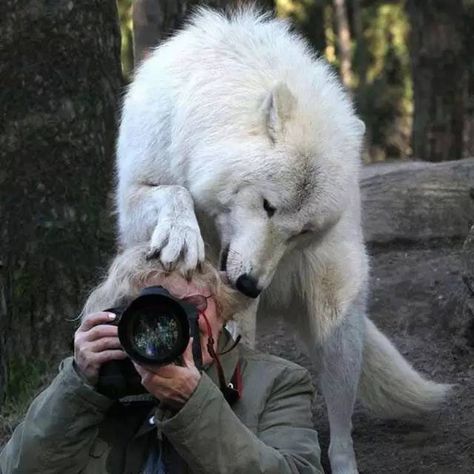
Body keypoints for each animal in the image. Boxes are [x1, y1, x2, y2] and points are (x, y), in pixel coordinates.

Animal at [115, 7, 452, 474]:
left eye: (302, 231)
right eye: (268, 206)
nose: (250, 286)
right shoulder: (136, 189)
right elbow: (174, 191)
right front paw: (182, 235)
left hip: (336, 327)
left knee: (340, 430)